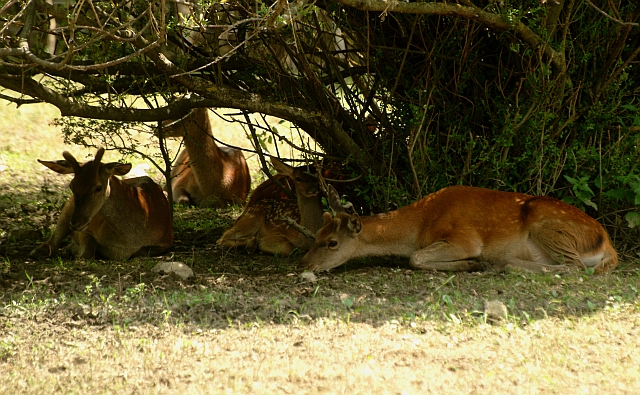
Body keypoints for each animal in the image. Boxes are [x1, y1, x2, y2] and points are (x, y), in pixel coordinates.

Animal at [30, 148, 172, 260]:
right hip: (68, 208)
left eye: (98, 187)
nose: (75, 223)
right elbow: (88, 252)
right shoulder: (87, 230)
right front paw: (74, 250)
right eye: (71, 185)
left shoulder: (165, 242)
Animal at [302, 186, 620, 276]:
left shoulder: (464, 238)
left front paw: (470, 263)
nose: (303, 263)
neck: (421, 223)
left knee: (576, 267)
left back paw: (496, 264)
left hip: (551, 227)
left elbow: (415, 258)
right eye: (315, 235)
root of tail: (608, 245)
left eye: (332, 242)